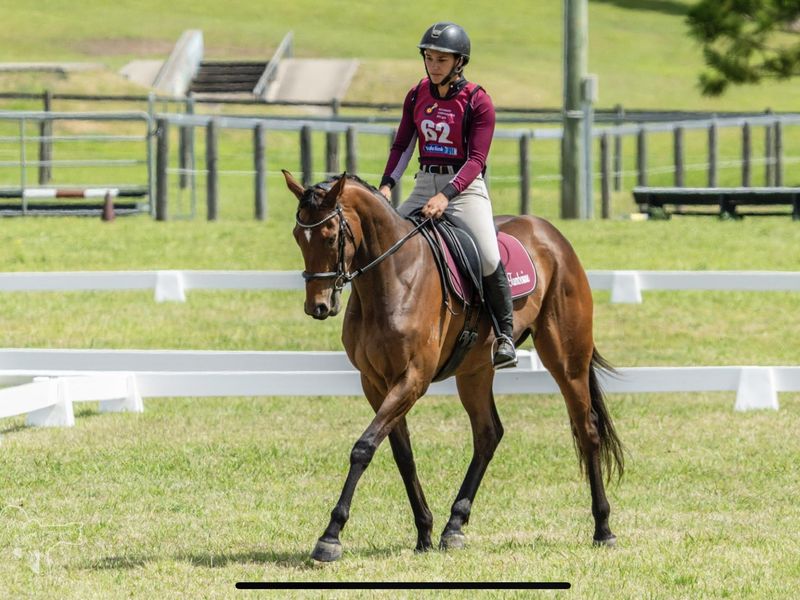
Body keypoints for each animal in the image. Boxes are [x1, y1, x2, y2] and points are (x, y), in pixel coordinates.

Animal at [283, 170, 624, 562]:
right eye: (297, 236)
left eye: (330, 235)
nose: (318, 306)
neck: (392, 276)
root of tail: (550, 233)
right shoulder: (375, 382)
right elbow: (402, 454)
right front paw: (424, 533)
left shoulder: (412, 379)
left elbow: (364, 447)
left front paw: (331, 536)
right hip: (475, 371)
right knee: (488, 433)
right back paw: (454, 527)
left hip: (567, 359)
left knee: (587, 430)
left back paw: (603, 528)